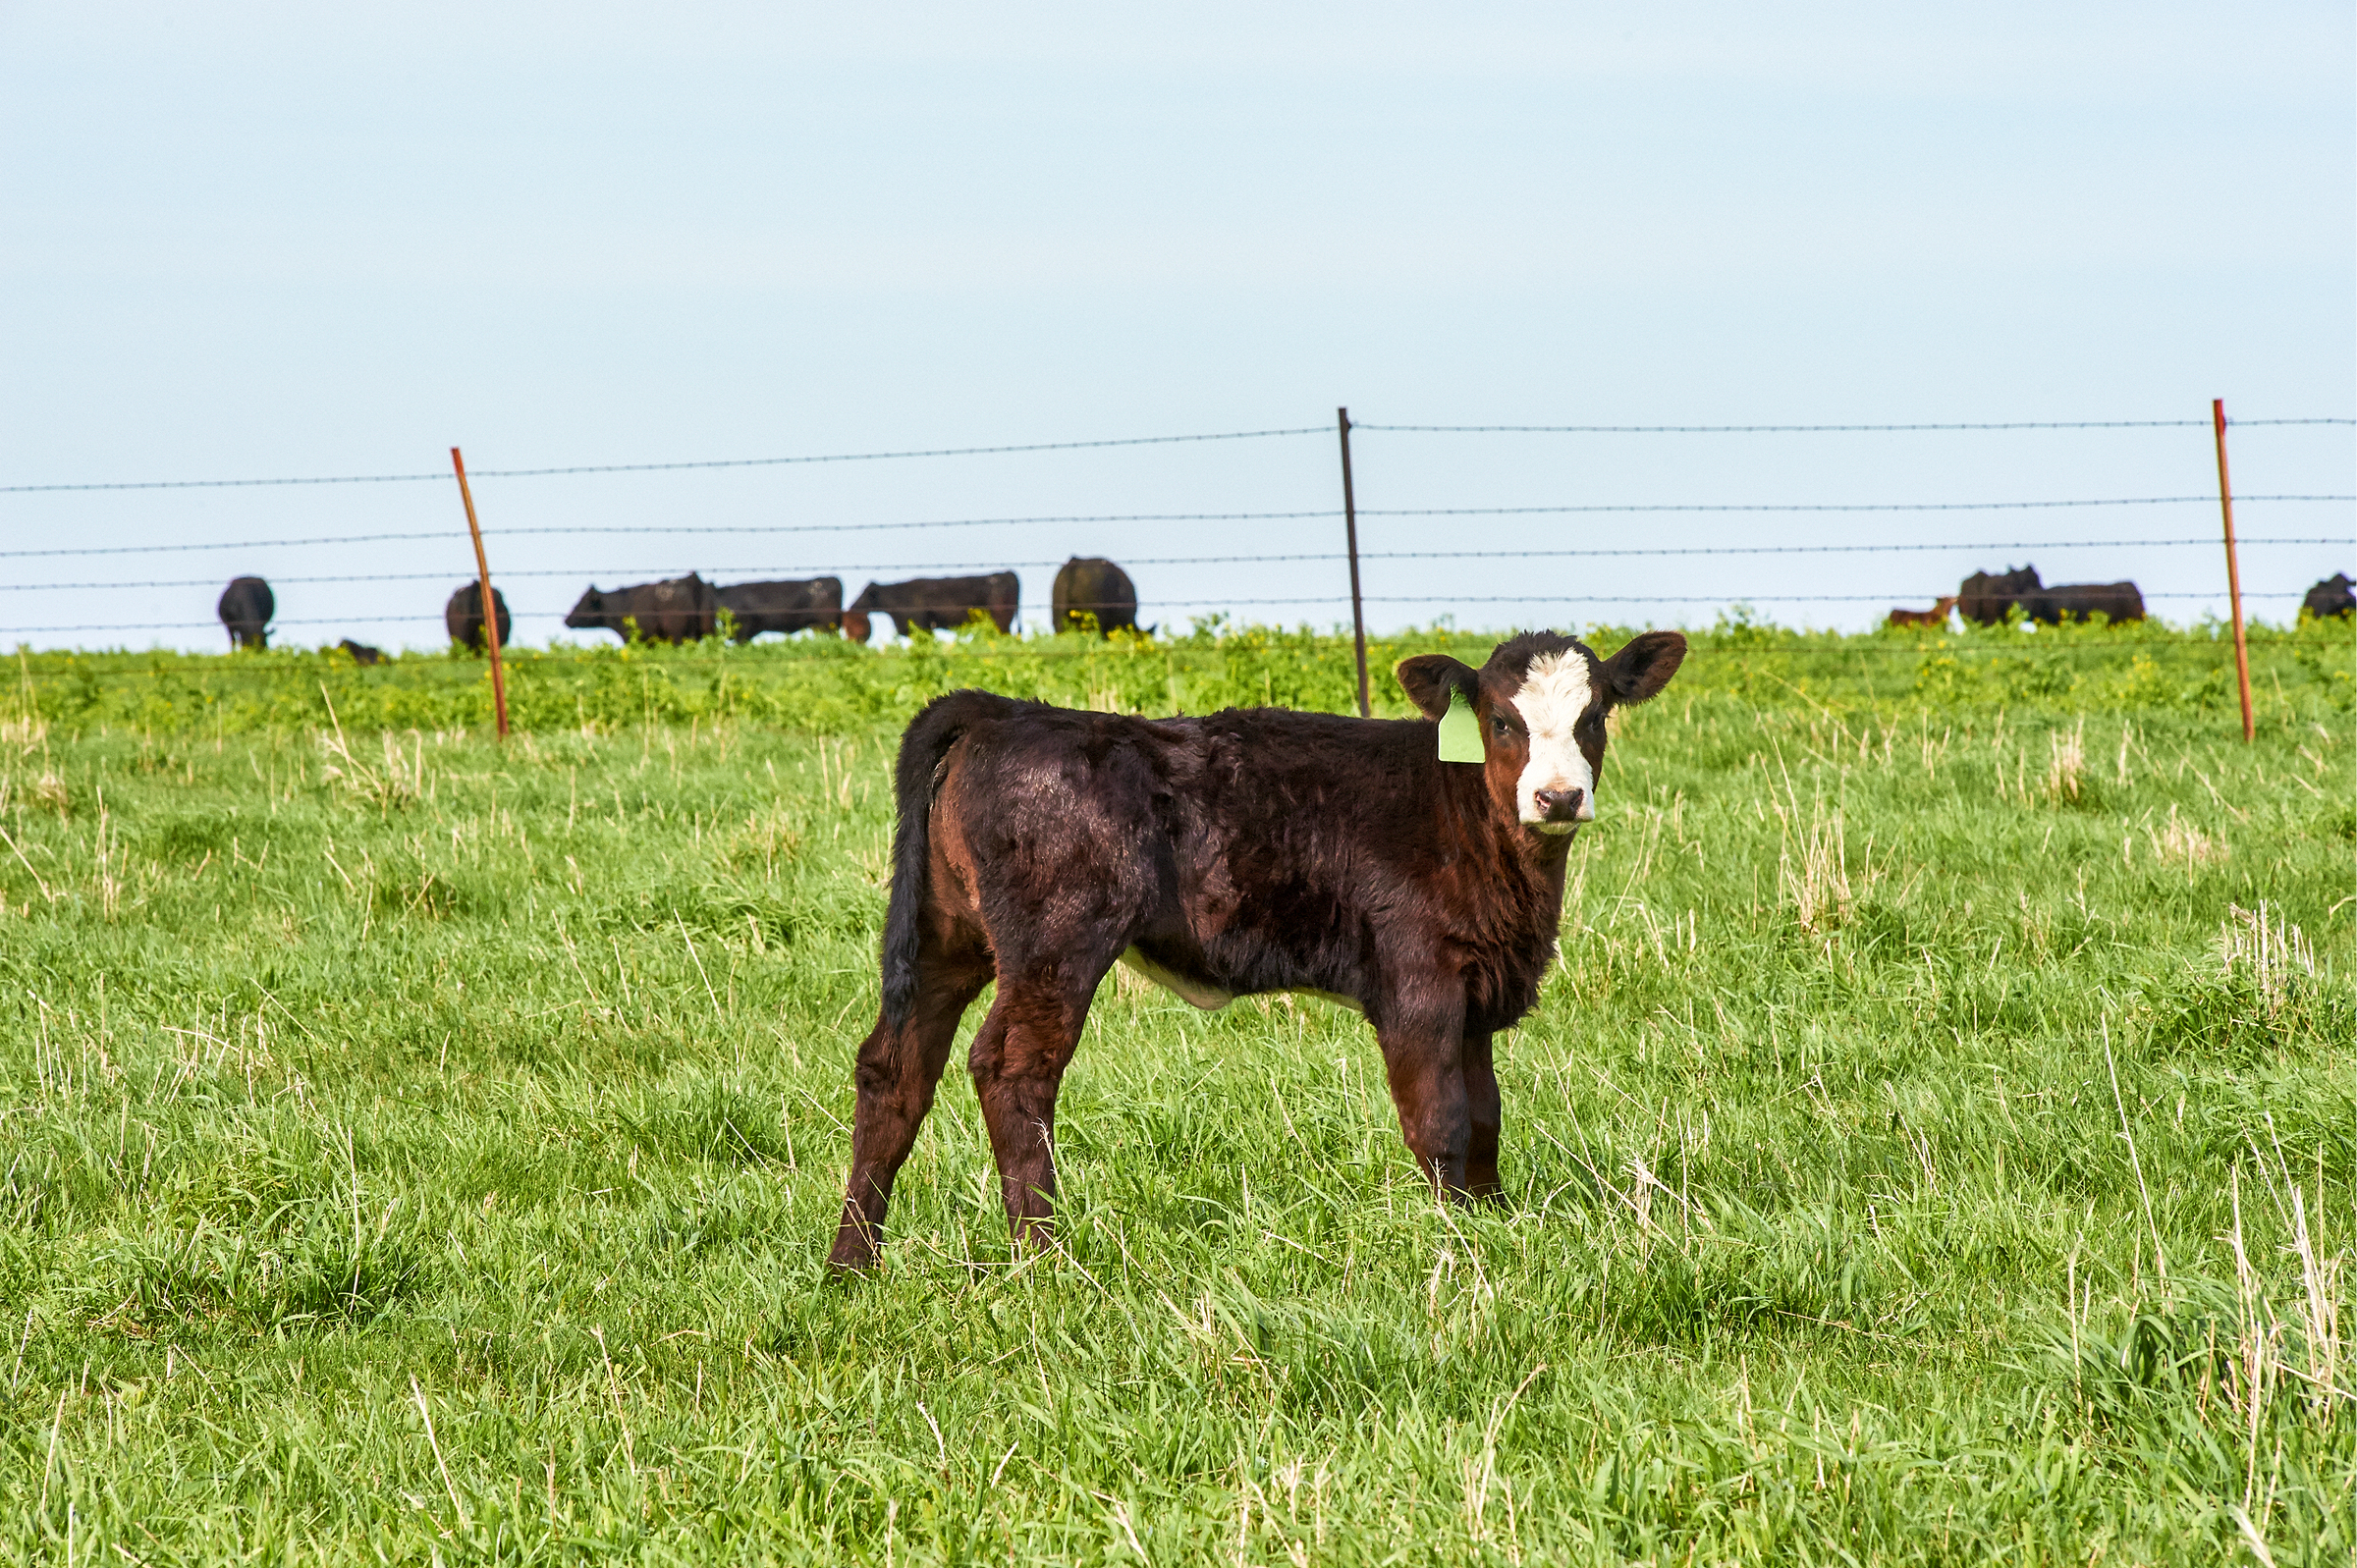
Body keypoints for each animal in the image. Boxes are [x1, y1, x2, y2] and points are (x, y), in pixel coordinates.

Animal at [826, 627, 1689, 1269]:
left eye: (1595, 716)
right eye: (1503, 720)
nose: (1559, 796)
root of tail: (1003, 712)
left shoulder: (1476, 989)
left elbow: (1485, 1119)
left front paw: (1495, 1225)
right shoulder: (1417, 985)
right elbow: (1441, 1121)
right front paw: (1457, 1247)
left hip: (948, 937)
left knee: (896, 1068)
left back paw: (854, 1263)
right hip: (1056, 940)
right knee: (1012, 1067)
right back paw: (1044, 1259)